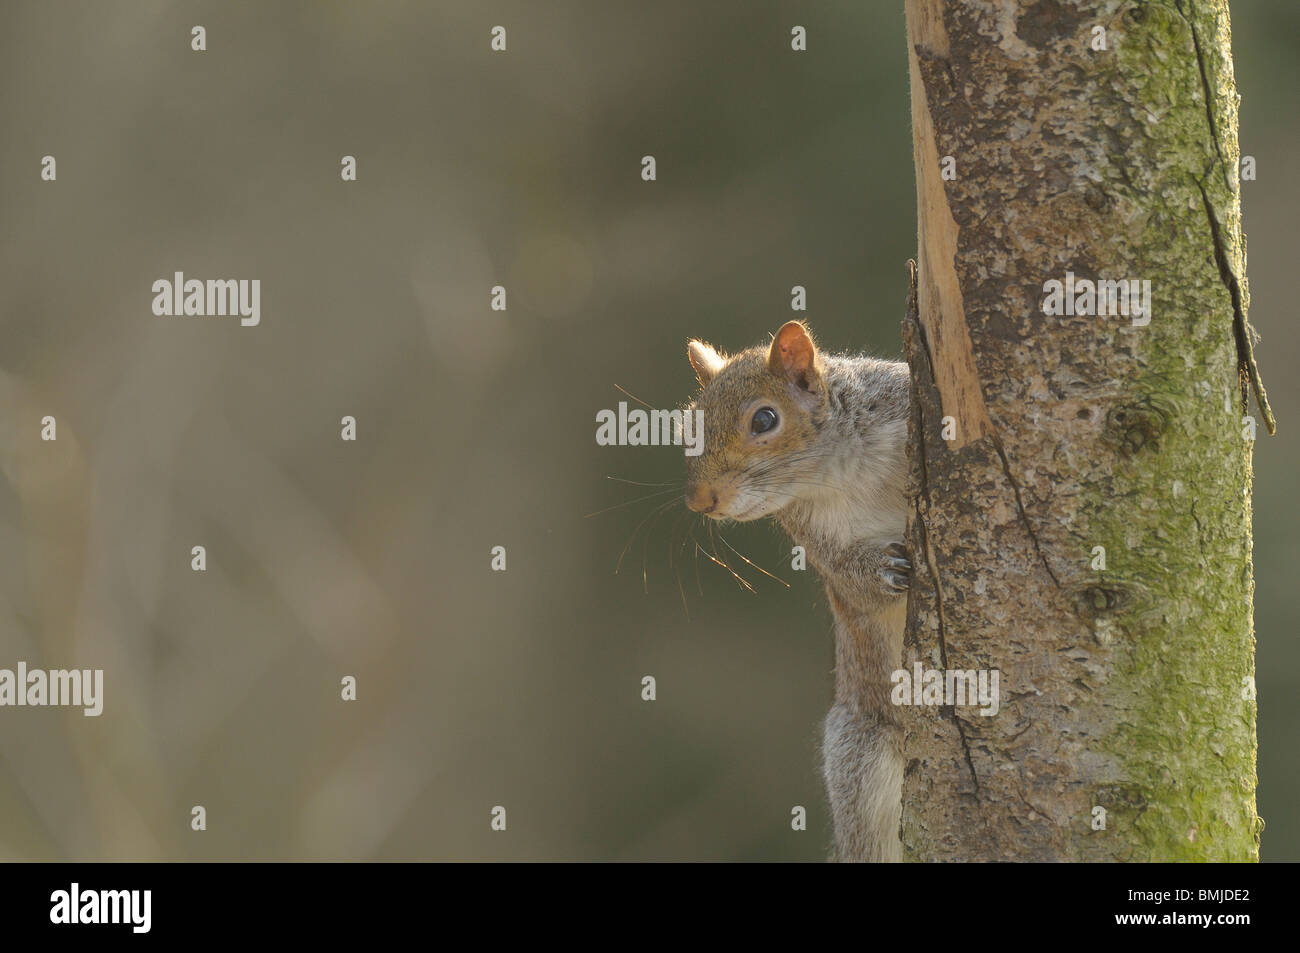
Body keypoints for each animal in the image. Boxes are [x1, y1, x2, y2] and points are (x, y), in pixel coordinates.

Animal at [681, 319, 915, 863]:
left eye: (765, 420)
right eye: (687, 425)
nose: (699, 501)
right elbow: (851, 585)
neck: (842, 471)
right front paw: (883, 571)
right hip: (860, 761)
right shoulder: (814, 536)